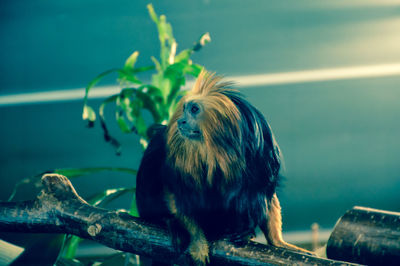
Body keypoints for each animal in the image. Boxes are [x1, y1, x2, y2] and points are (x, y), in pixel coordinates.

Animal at [137, 70, 312, 264]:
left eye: (194, 109)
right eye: (185, 109)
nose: (181, 122)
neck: (217, 150)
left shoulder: (262, 157)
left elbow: (263, 194)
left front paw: (270, 238)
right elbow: (177, 195)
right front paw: (197, 241)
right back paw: (168, 222)